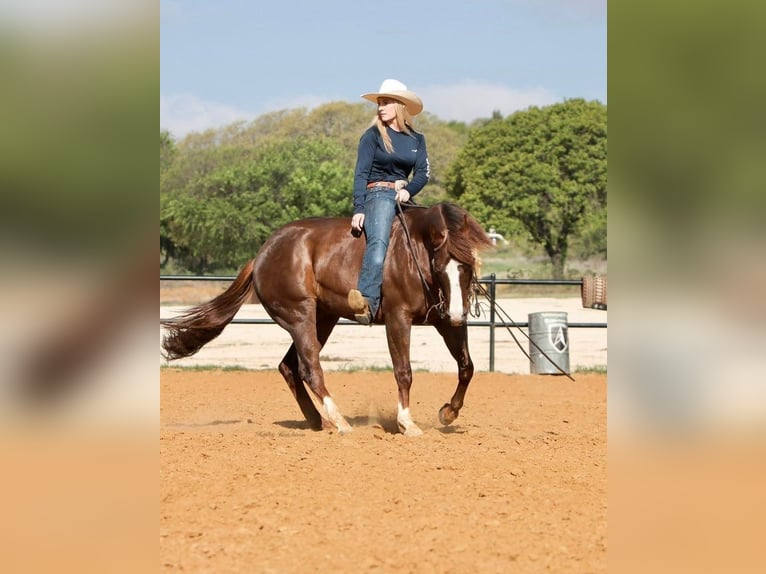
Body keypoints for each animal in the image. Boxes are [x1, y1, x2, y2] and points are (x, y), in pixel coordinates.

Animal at [164, 202, 496, 436]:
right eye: (440, 266)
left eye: (467, 266)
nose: (458, 313)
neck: (413, 250)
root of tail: (262, 254)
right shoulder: (397, 318)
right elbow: (404, 371)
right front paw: (407, 423)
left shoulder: (445, 322)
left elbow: (467, 367)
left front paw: (448, 412)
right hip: (300, 316)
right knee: (309, 367)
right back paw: (340, 422)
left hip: (323, 318)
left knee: (288, 367)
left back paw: (317, 420)